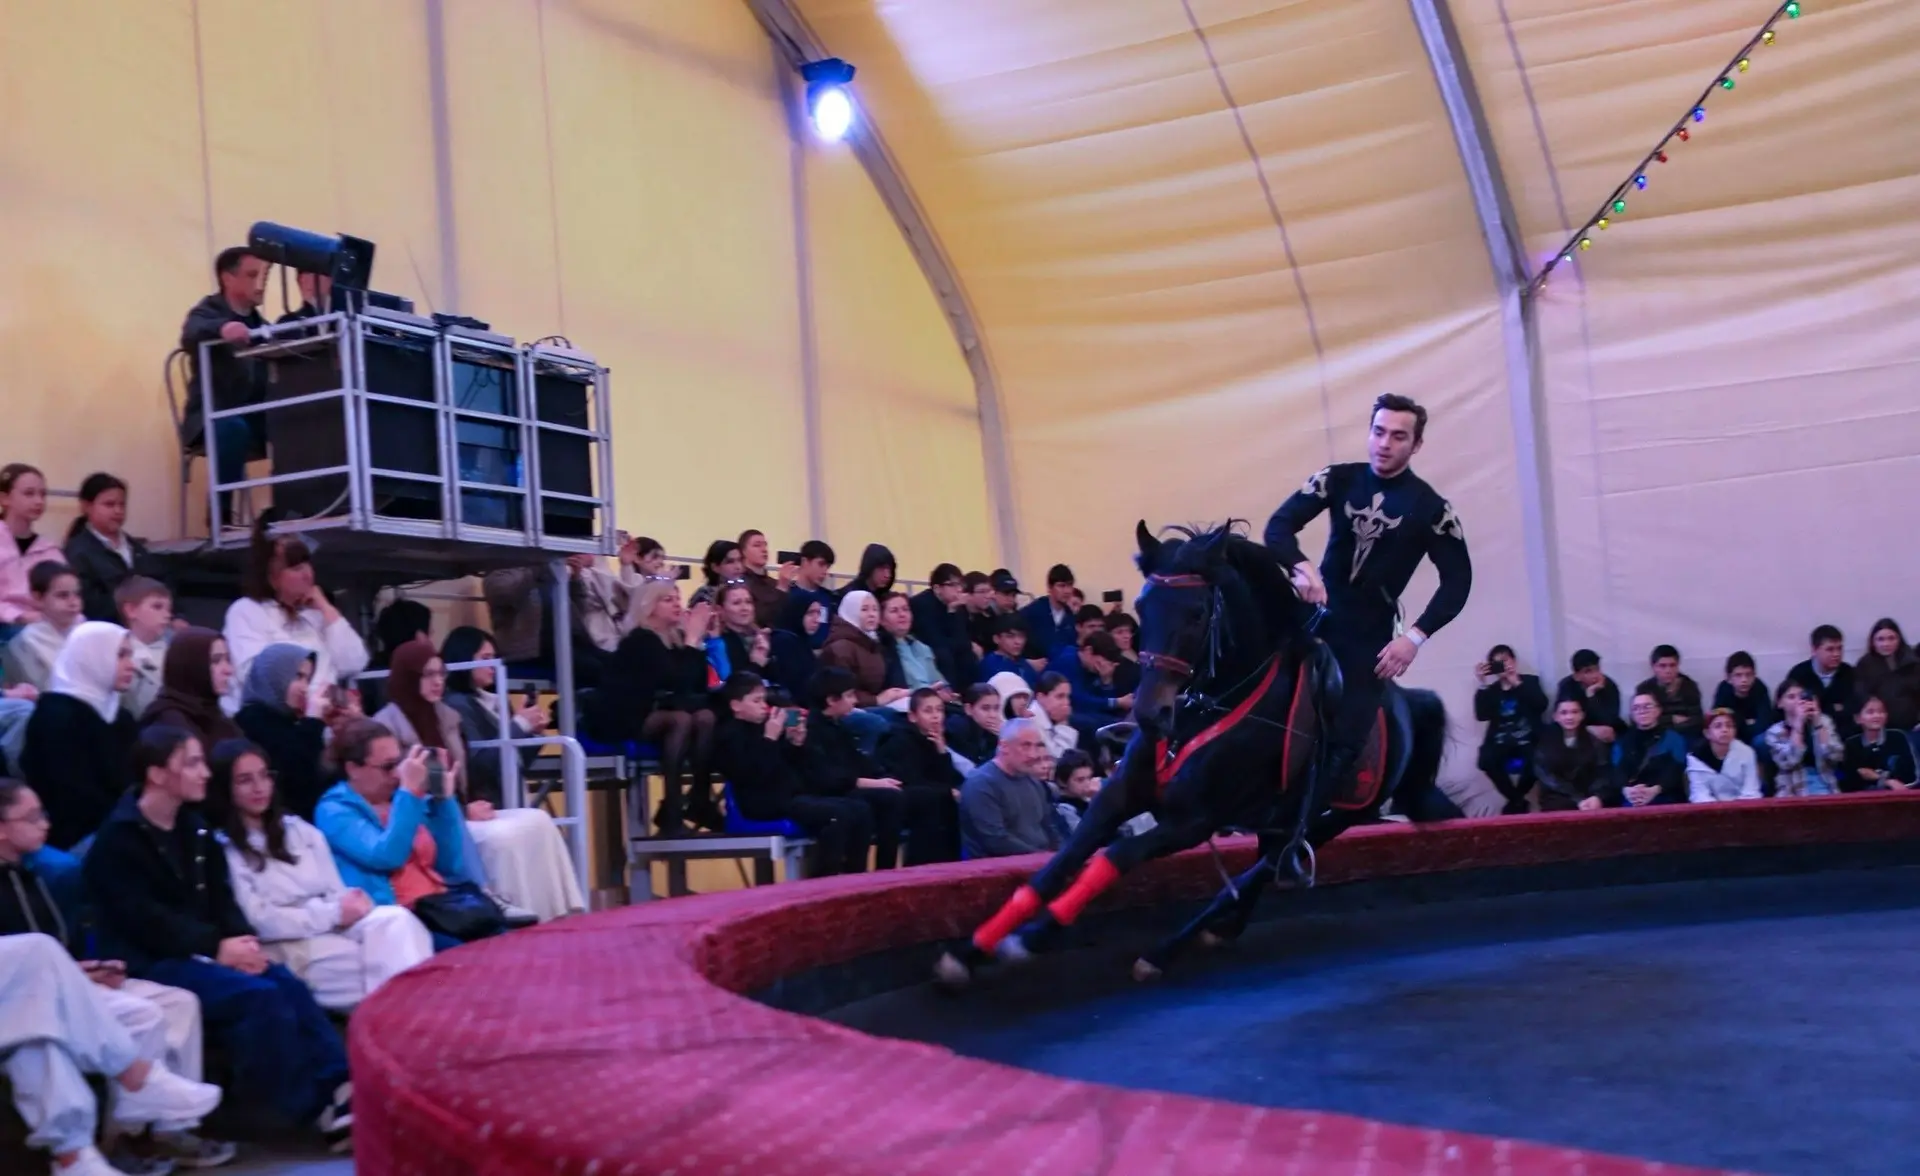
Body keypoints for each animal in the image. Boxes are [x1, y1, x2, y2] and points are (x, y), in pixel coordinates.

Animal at [935, 520, 1450, 987]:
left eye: (1199, 613)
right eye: (1143, 605)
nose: (1149, 713)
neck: (1204, 710)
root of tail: (1406, 704)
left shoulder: (1195, 820)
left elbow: (1115, 855)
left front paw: (1037, 934)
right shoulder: (1119, 794)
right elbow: (1057, 867)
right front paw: (969, 951)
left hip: (1335, 817)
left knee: (1253, 877)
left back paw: (1164, 951)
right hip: (1279, 820)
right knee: (1257, 875)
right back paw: (1223, 930)